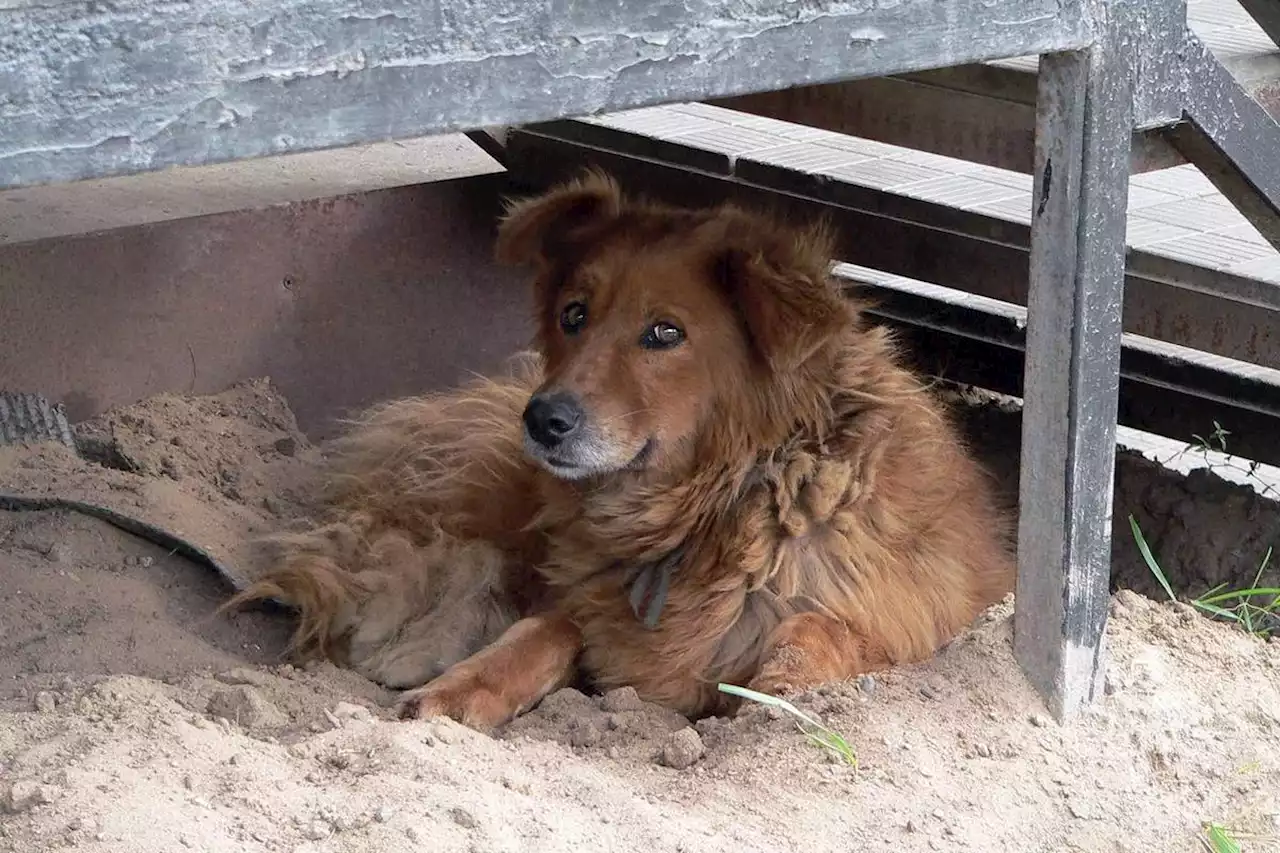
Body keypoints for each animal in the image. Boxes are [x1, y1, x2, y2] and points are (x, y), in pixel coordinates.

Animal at [225, 171, 1013, 722]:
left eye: (665, 332)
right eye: (574, 315)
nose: (544, 419)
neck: (714, 506)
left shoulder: (913, 612)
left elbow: (825, 632)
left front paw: (779, 688)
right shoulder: (591, 607)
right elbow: (540, 630)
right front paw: (460, 688)